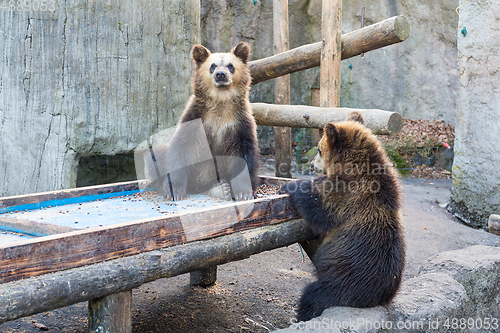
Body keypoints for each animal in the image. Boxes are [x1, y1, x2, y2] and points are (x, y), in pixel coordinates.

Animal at [150, 41, 260, 200]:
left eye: (230, 65)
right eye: (212, 66)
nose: (220, 75)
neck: (221, 102)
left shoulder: (239, 122)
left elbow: (244, 154)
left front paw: (243, 193)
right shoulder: (196, 118)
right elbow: (181, 149)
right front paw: (175, 191)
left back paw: (222, 189)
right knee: (156, 156)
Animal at [282, 113, 406, 320]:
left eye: (319, 149)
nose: (311, 164)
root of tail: (379, 298)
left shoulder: (348, 195)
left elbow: (320, 207)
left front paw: (291, 185)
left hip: (343, 280)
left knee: (313, 296)